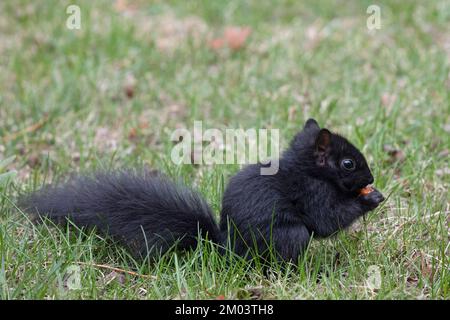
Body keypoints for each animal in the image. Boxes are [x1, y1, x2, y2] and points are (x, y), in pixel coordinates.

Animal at [17, 119, 384, 262]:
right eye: (348, 163)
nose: (371, 176)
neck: (306, 168)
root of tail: (227, 250)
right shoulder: (311, 192)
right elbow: (325, 221)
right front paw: (372, 199)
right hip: (288, 236)